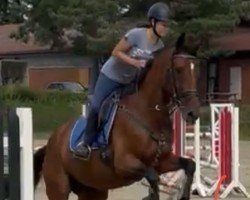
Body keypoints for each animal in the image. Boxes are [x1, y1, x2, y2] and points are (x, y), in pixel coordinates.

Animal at [33, 33, 201, 200]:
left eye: (196, 71)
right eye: (178, 70)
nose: (193, 113)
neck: (147, 114)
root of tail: (51, 142)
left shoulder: (163, 161)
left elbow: (190, 165)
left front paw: (184, 195)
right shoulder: (124, 164)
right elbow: (153, 176)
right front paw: (151, 196)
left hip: (93, 190)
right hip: (58, 188)